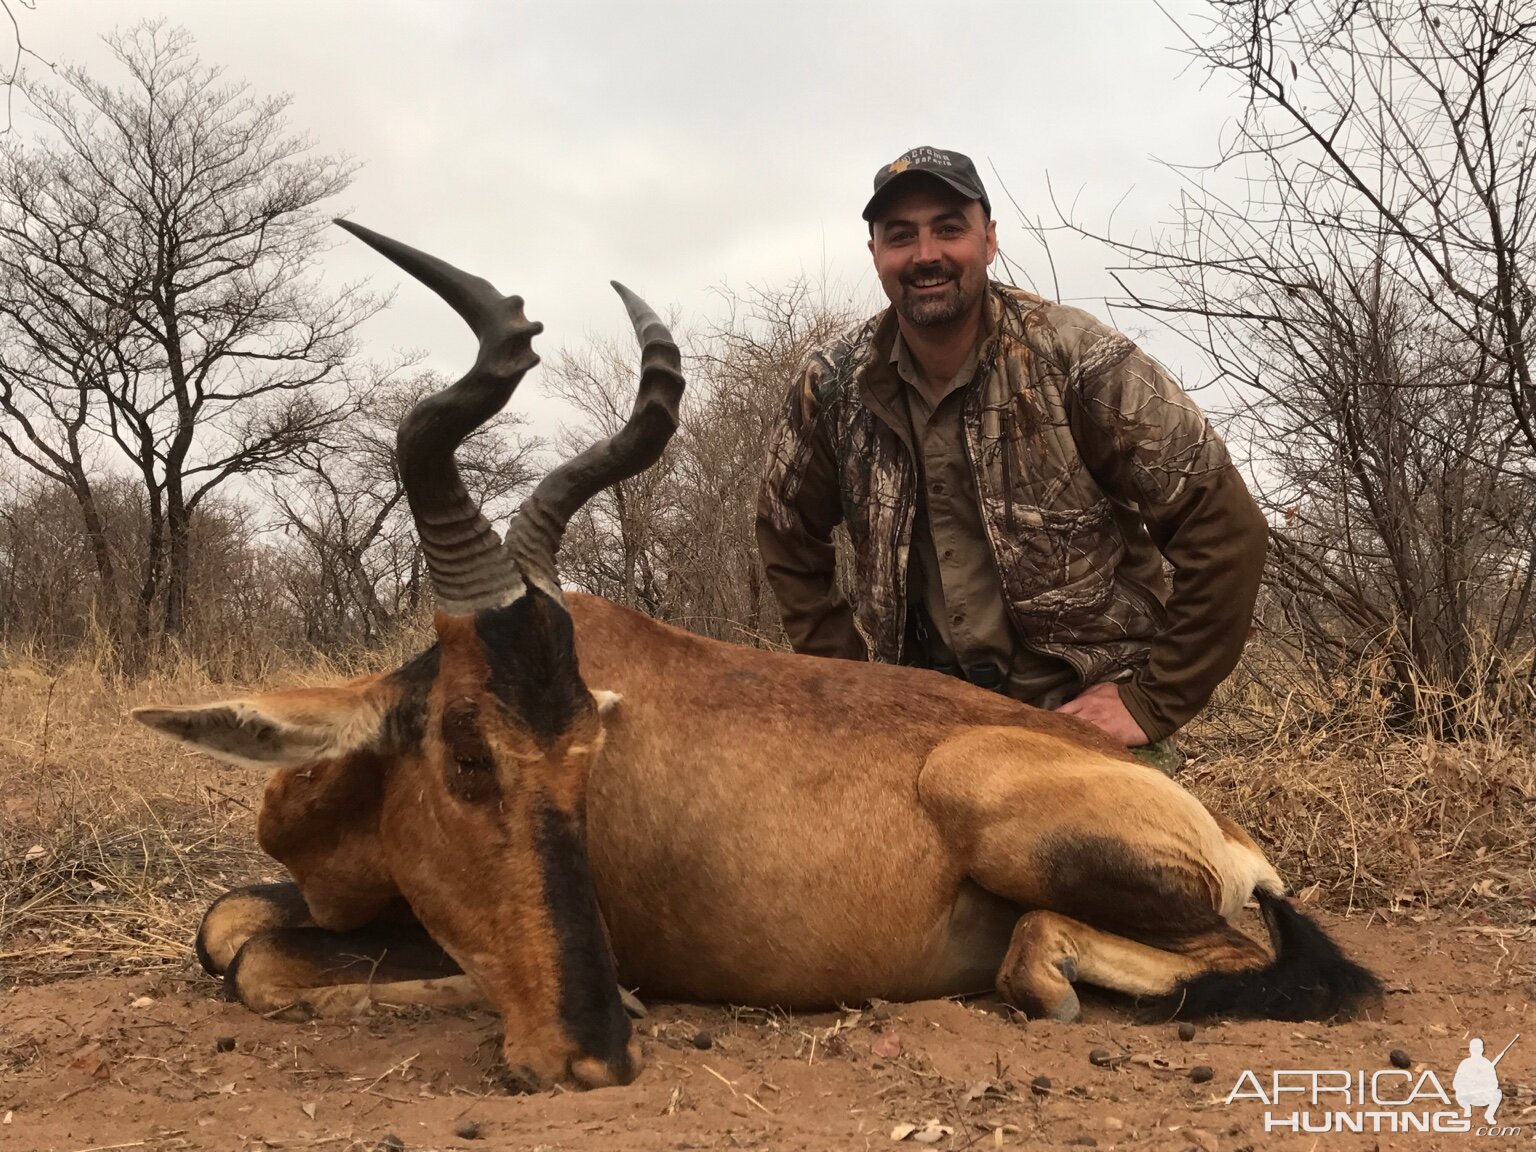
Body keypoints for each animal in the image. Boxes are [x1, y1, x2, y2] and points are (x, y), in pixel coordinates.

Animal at [132, 221, 1382, 1093]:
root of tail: (1217, 823)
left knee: (1252, 954)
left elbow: (261, 959)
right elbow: (229, 925)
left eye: (587, 756)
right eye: (465, 750)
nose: (595, 1051)